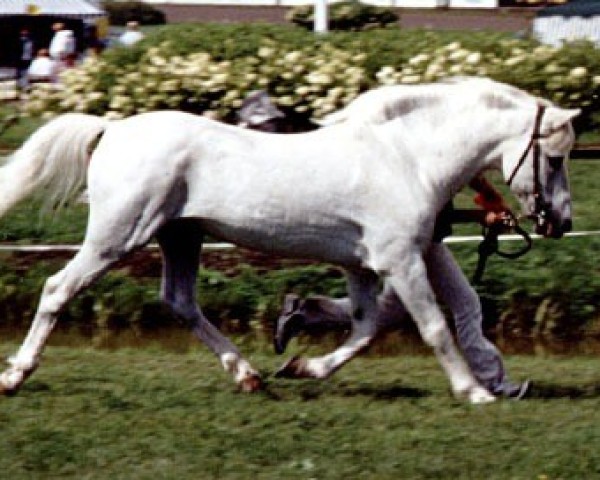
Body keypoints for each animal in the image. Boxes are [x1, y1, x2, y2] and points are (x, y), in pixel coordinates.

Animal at [0, 78, 576, 402]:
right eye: (554, 157)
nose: (561, 222)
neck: (406, 159)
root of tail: (113, 129)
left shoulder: (364, 266)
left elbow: (365, 328)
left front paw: (302, 363)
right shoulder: (400, 261)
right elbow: (433, 326)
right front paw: (473, 391)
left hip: (180, 237)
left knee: (181, 302)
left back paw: (249, 377)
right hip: (118, 236)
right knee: (57, 289)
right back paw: (15, 376)